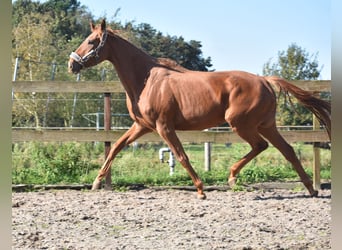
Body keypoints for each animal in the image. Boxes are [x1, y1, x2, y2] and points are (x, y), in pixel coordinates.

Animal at [68, 20, 330, 199]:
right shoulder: (141, 126)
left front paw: (201, 190)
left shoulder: (164, 127)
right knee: (287, 150)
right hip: (265, 125)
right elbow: (115, 148)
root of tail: (264, 80)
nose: (71, 64)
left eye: (91, 41)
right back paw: (310, 189)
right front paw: (96, 183)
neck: (146, 80)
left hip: (241, 123)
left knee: (261, 146)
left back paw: (232, 176)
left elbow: (182, 156)